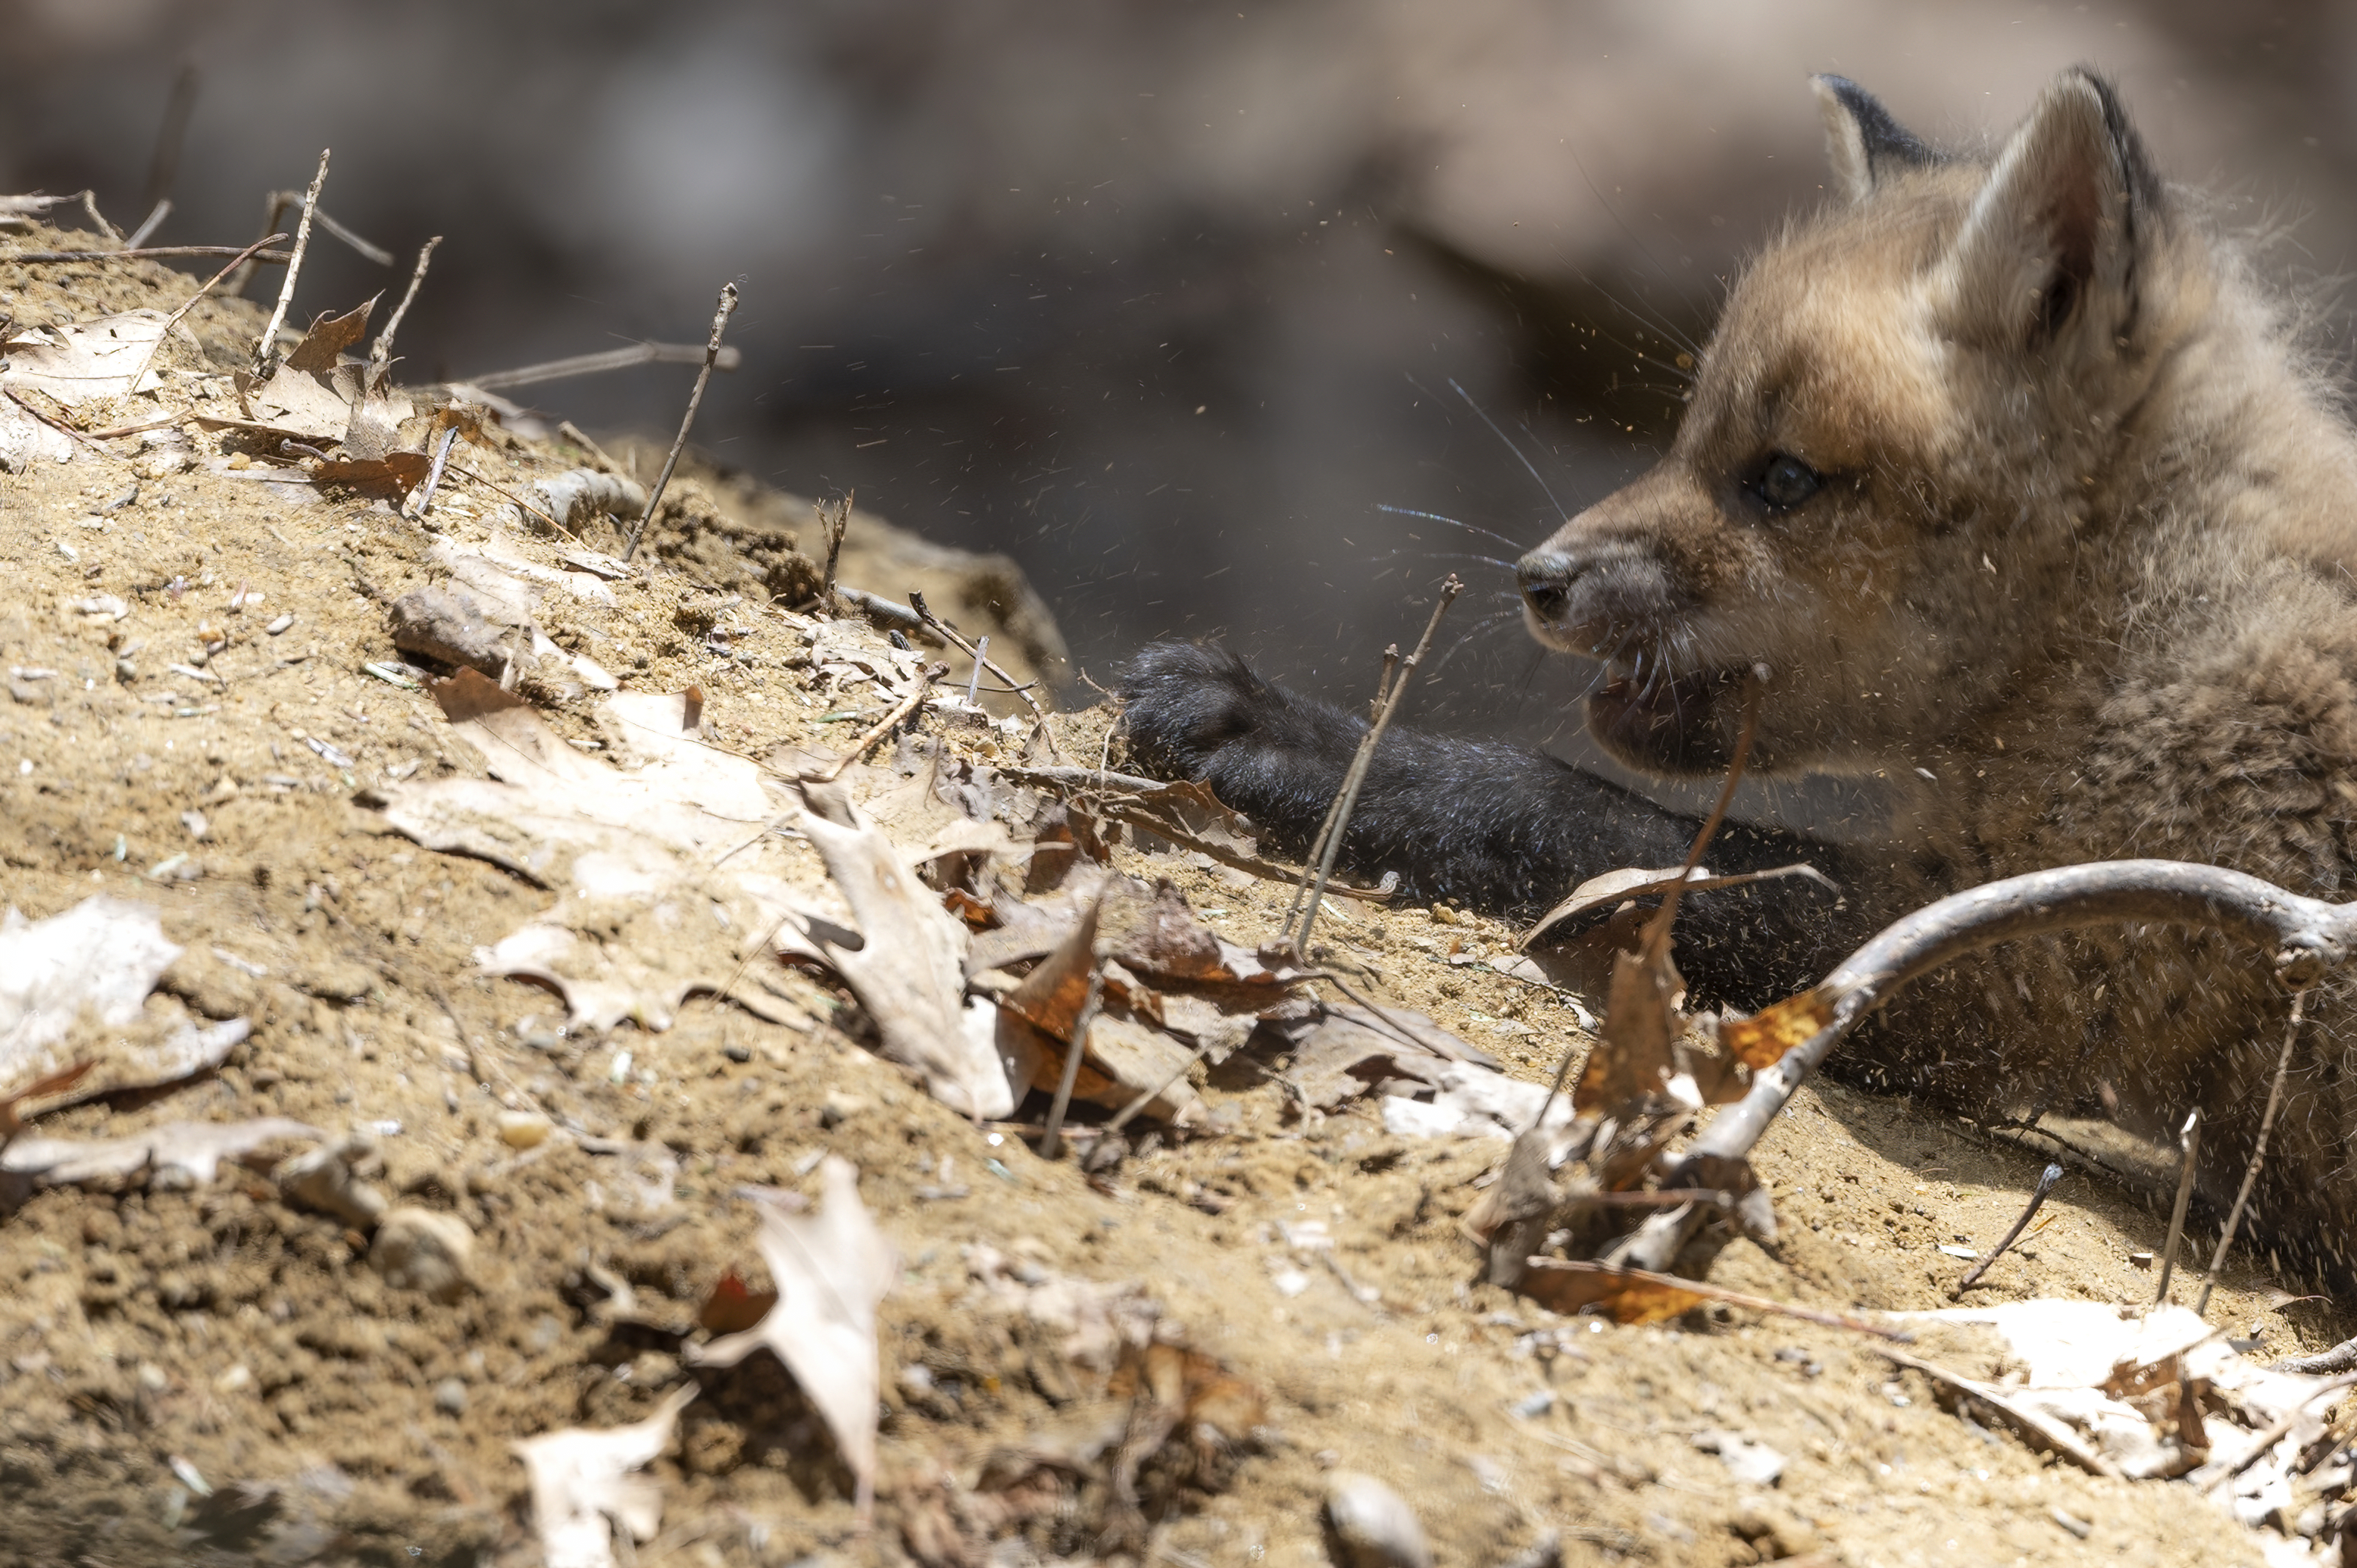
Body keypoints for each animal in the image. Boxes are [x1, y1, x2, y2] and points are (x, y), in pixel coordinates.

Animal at [1120, 69, 2357, 1292]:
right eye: (1691, 432)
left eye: (1784, 478)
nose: (1537, 579)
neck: (2144, 623)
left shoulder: (2018, 959)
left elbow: (1562, 808)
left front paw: (1284, 734)